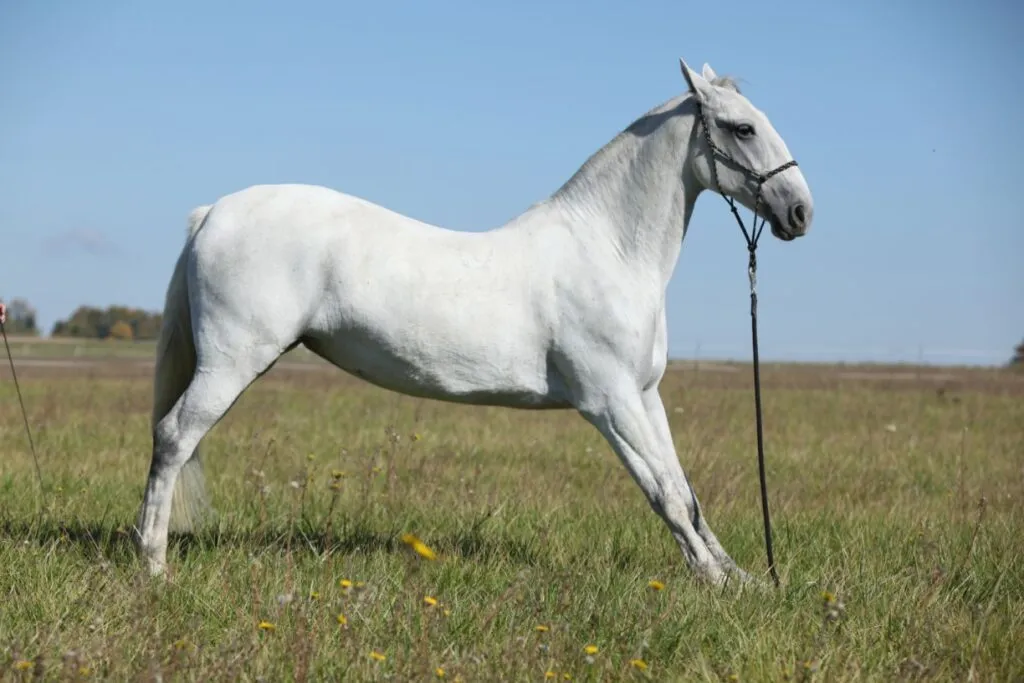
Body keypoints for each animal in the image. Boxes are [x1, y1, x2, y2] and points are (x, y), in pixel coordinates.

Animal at [135, 58, 814, 586]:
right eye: (743, 127)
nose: (800, 212)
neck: (607, 249)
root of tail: (213, 211)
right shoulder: (610, 401)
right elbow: (665, 493)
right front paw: (713, 583)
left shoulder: (645, 395)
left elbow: (687, 493)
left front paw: (739, 578)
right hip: (230, 363)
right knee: (173, 438)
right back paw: (153, 563)